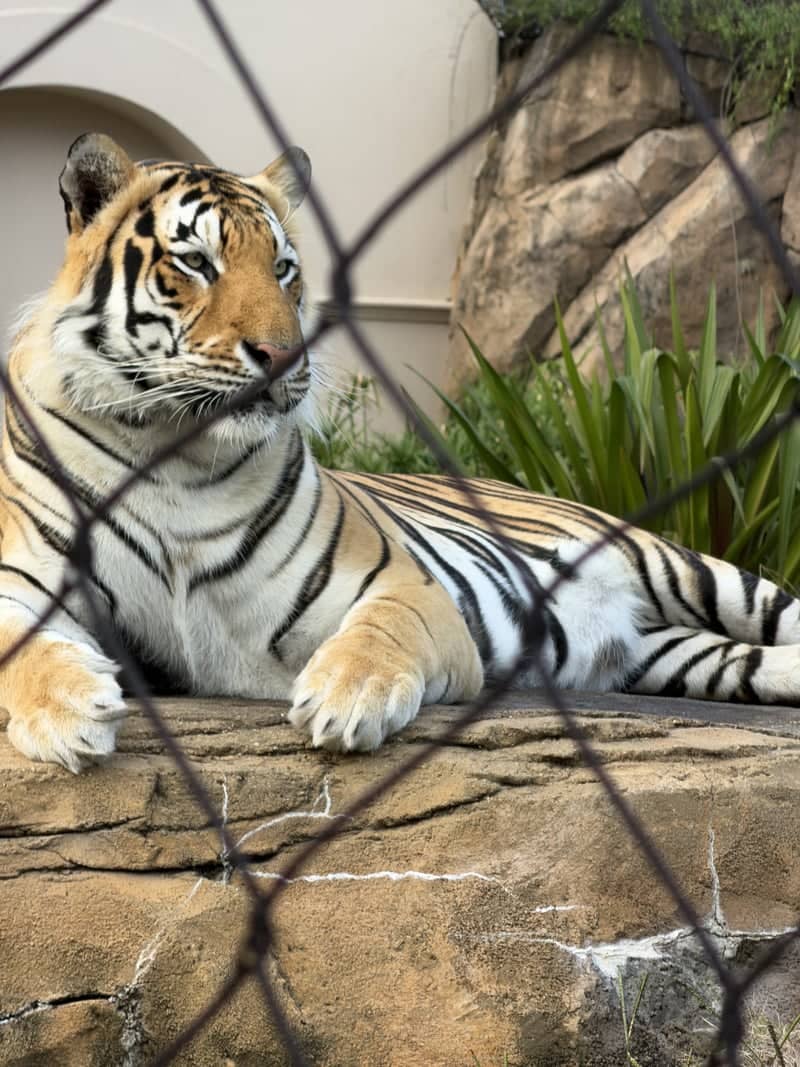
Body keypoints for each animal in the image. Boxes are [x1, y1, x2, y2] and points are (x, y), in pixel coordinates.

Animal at [2, 132, 800, 774]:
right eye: (196, 261)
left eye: (283, 267)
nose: (283, 355)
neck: (175, 451)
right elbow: (20, 642)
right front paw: (69, 713)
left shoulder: (400, 583)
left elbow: (384, 630)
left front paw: (348, 696)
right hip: (675, 654)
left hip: (684, 566)